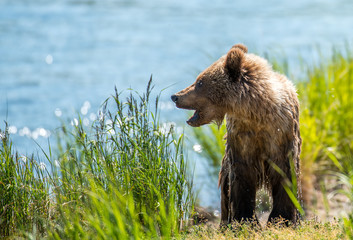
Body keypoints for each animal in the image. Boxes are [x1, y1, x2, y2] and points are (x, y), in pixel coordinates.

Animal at [170, 44, 300, 226]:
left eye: (200, 82)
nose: (175, 96)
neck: (256, 114)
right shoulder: (241, 139)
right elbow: (241, 179)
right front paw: (245, 219)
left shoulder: (280, 136)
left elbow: (284, 175)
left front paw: (281, 218)